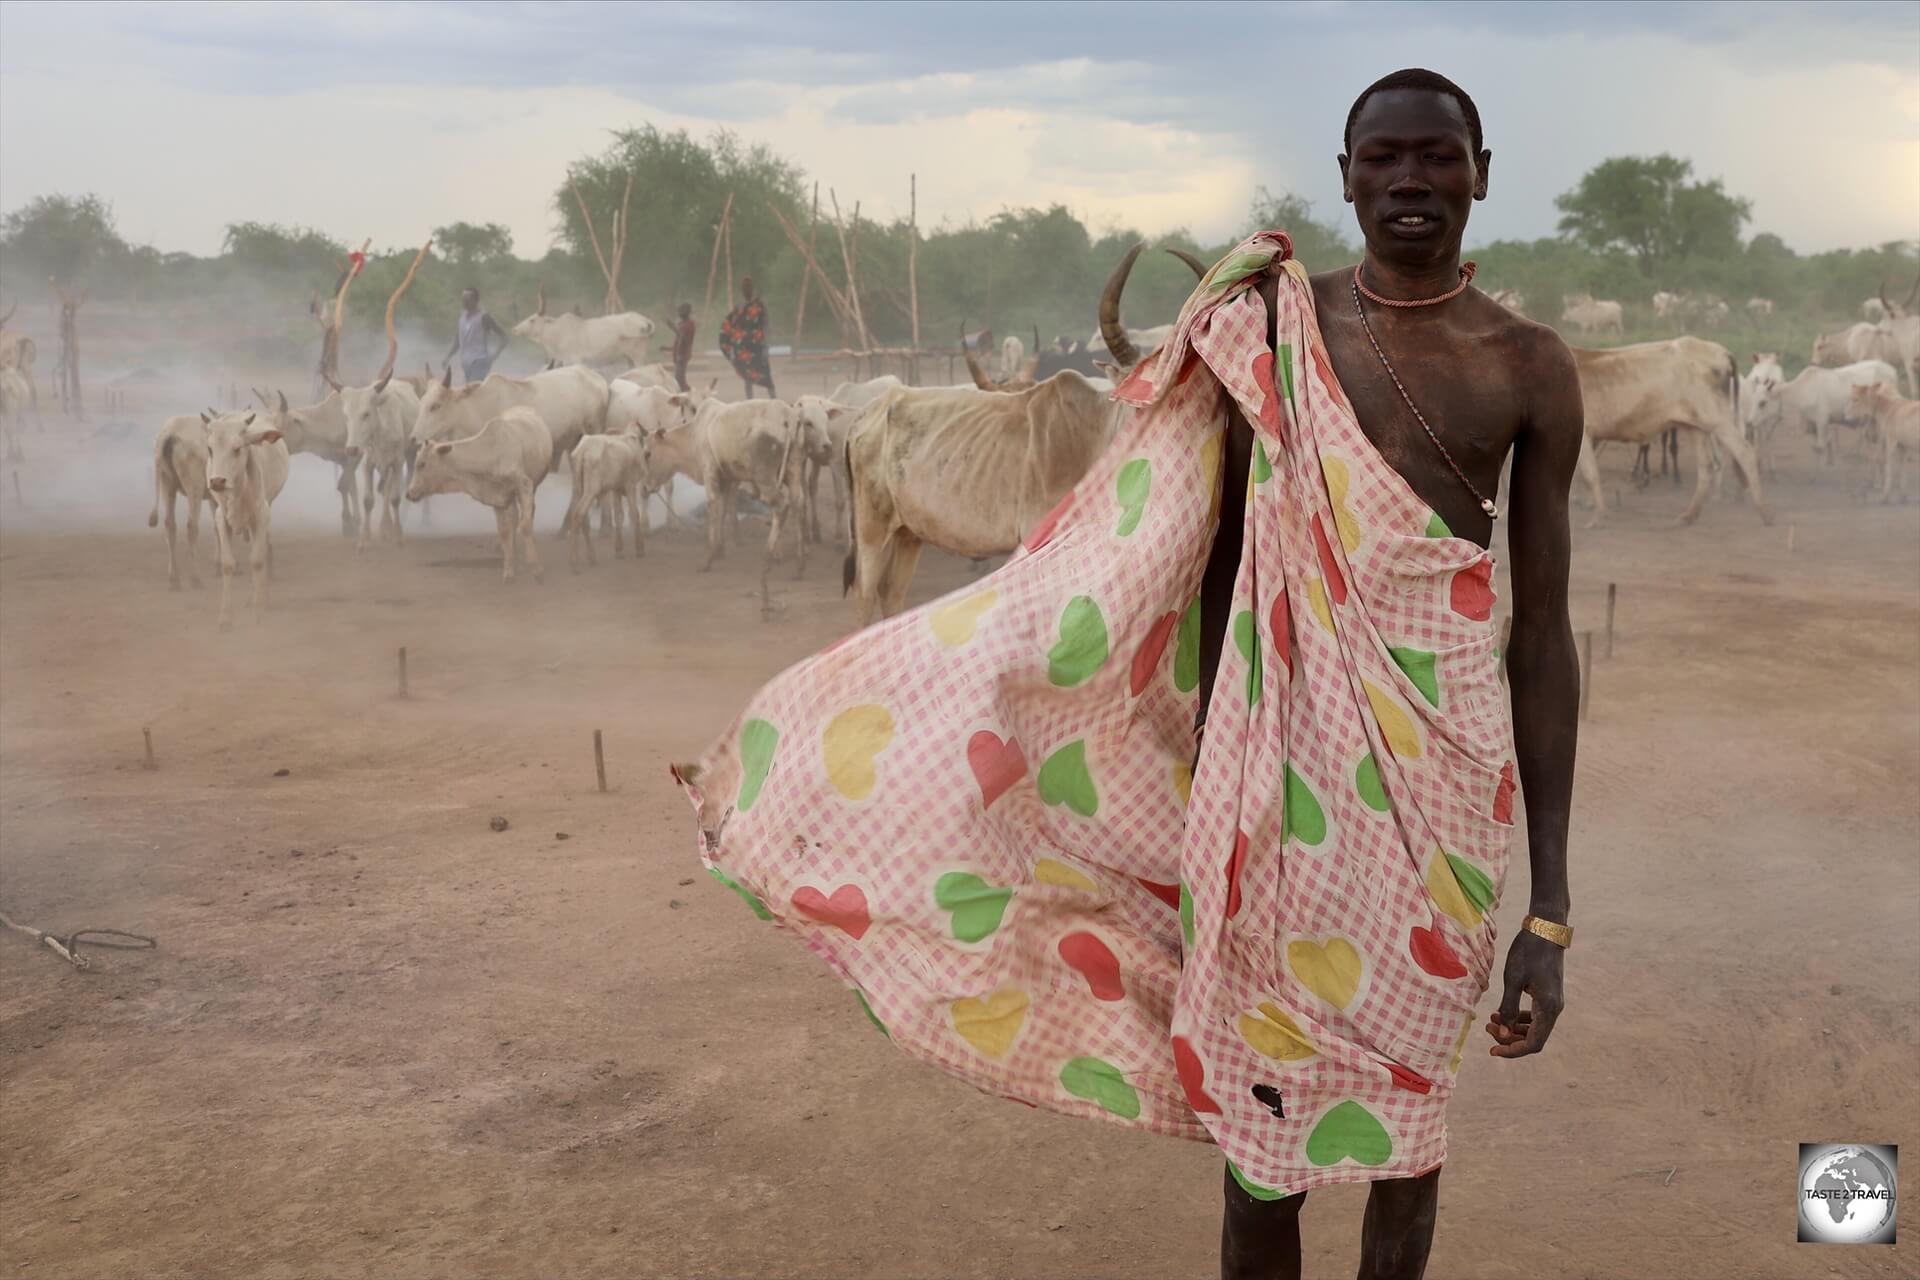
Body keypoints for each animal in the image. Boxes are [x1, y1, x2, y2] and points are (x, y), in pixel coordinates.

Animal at [147, 416, 214, 591]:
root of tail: (170, 434)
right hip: (194, 485)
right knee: (192, 526)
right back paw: (195, 579)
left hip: (166, 481)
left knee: (170, 524)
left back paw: (174, 580)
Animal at [202, 410, 288, 629]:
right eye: (210, 449)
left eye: (237, 448)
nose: (217, 481)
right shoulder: (221, 518)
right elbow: (228, 564)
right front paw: (225, 619)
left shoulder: (261, 514)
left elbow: (257, 561)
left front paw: (258, 613)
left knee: (263, 551)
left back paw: (262, 599)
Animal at [407, 408, 552, 583]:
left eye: (422, 464)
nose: (408, 493)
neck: (493, 452)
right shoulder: (498, 498)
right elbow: (505, 532)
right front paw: (509, 570)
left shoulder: (524, 485)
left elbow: (524, 526)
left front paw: (536, 568)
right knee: (514, 517)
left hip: (533, 486)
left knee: (528, 515)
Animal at [1751, 360, 1896, 470]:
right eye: (1754, 399)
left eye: (1762, 402)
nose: (1751, 422)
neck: (1802, 390)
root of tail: (1891, 370)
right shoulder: (1812, 424)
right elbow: (1817, 447)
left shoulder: (1822, 421)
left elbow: (1820, 447)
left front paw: (1818, 475)